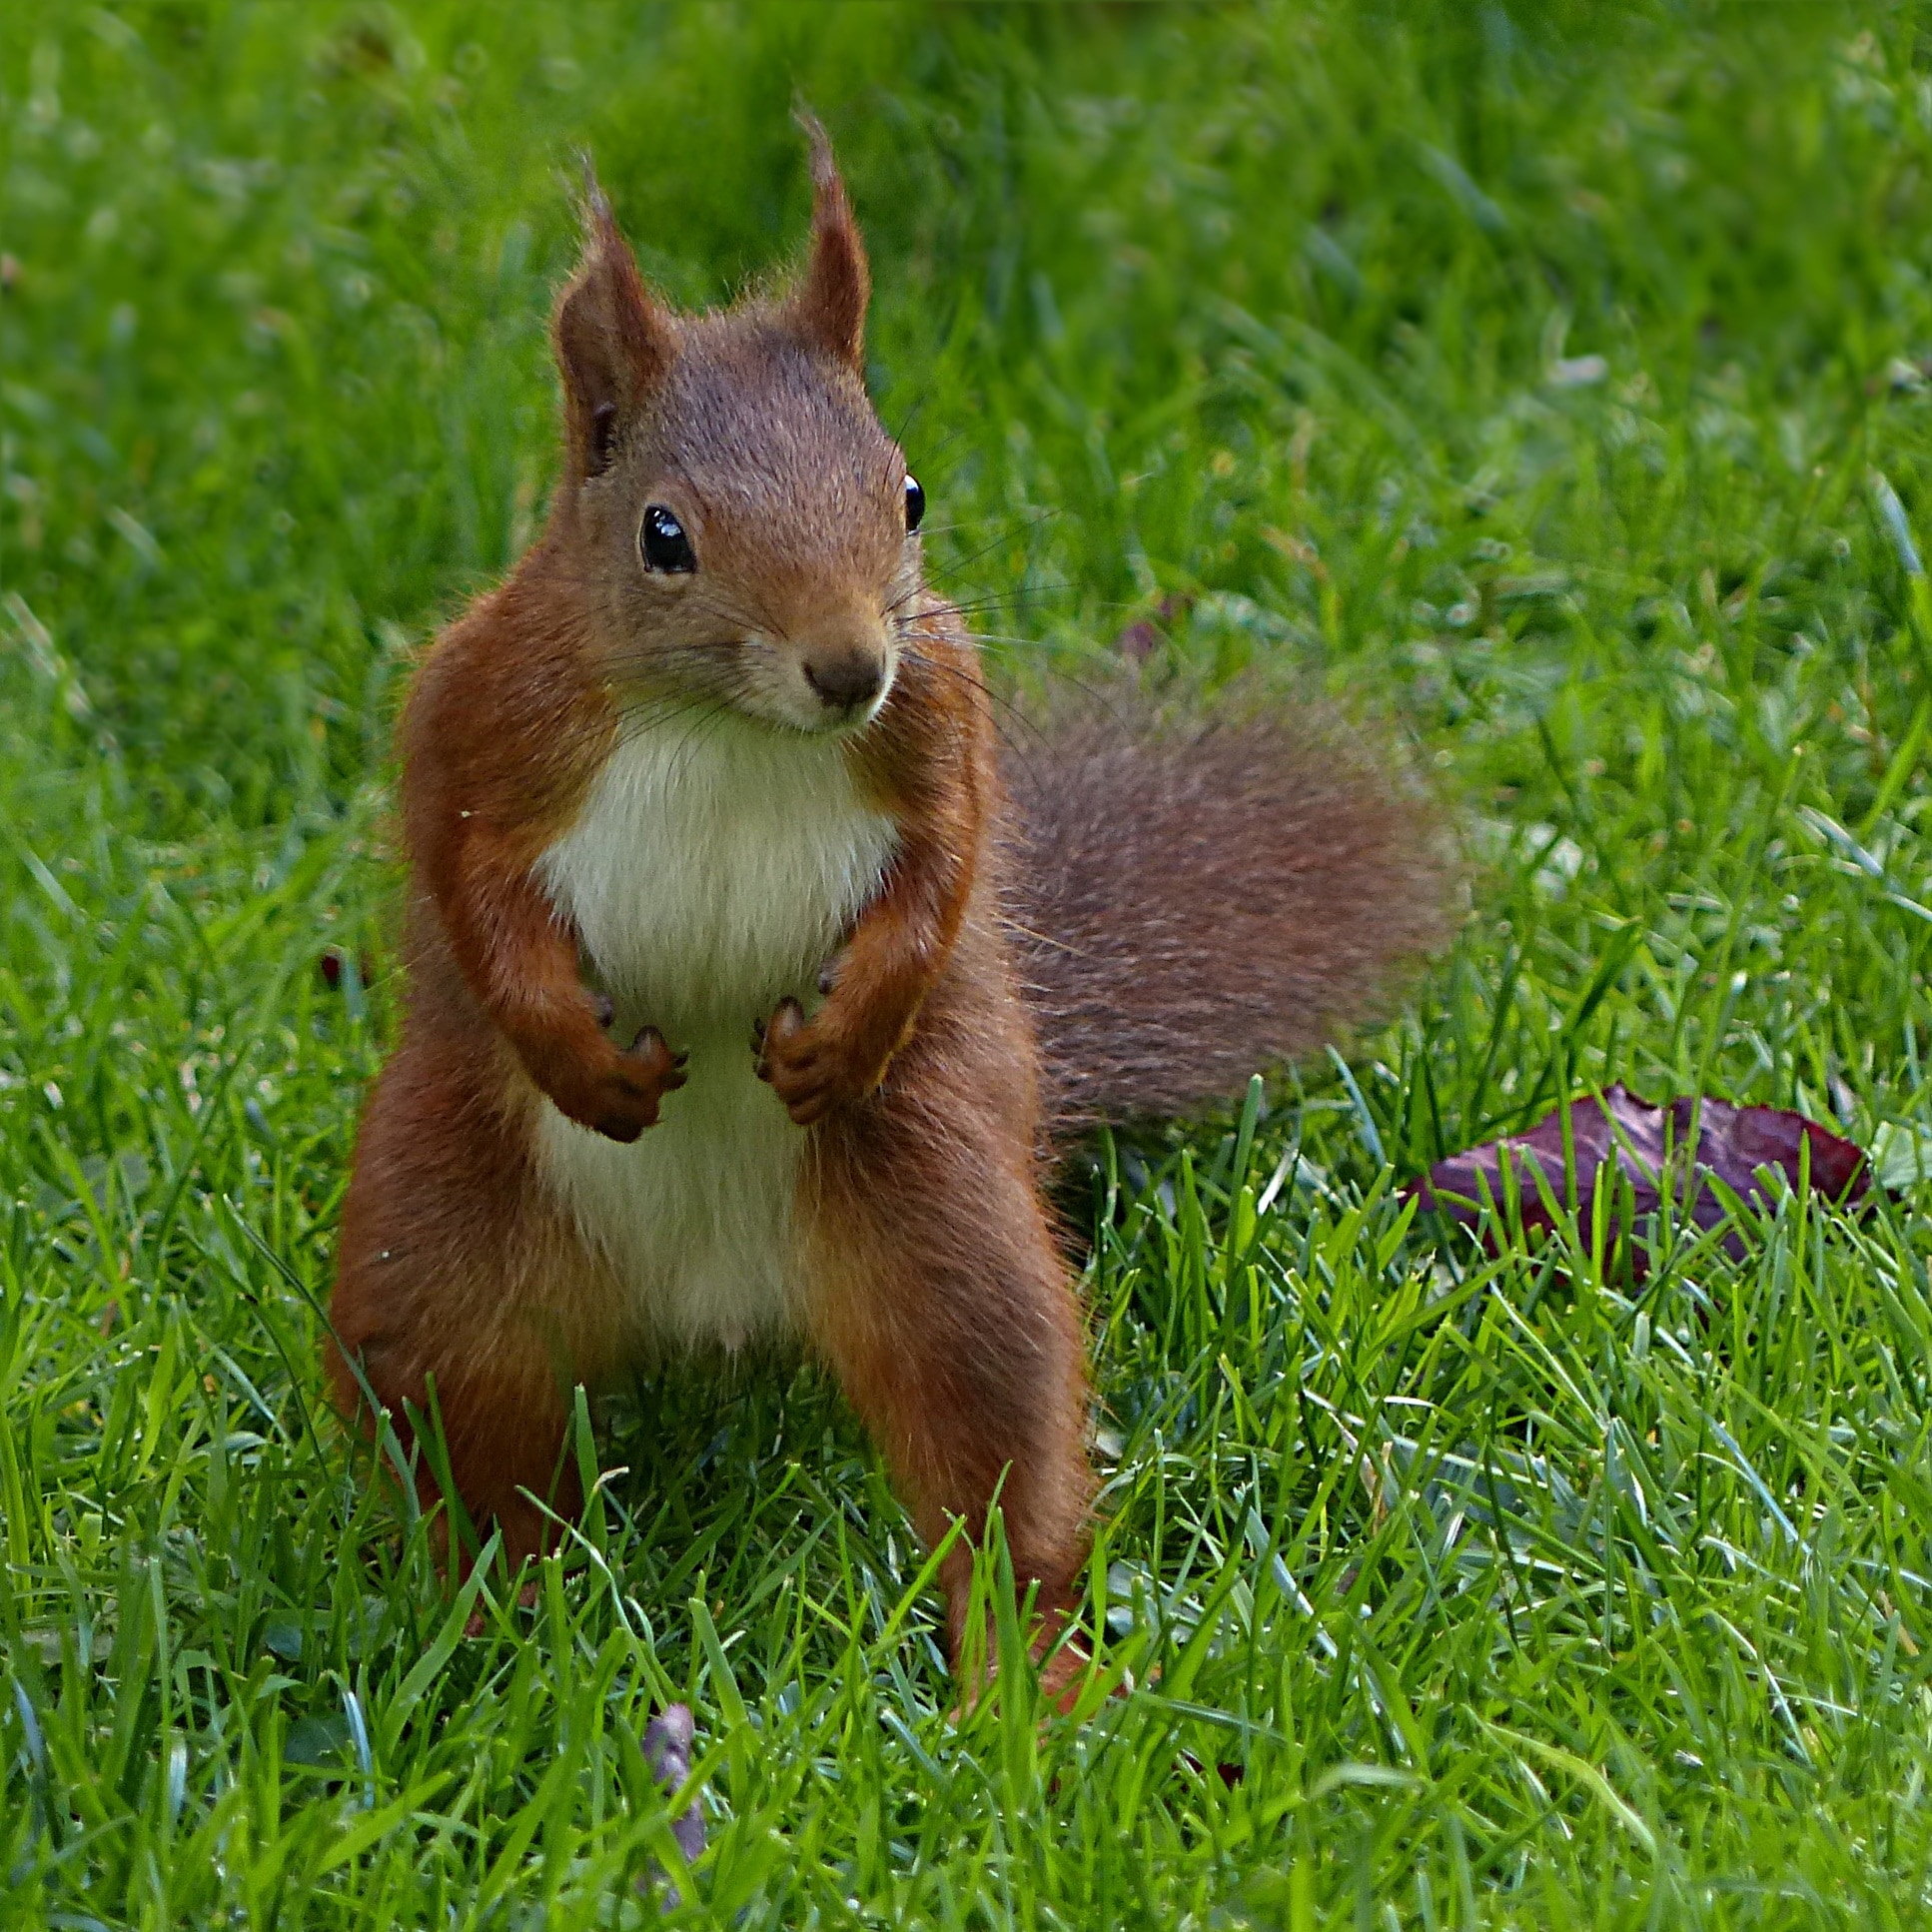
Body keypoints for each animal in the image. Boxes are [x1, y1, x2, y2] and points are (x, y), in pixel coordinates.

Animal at [328, 120, 1452, 1699]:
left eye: (907, 494)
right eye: (662, 535)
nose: (848, 665)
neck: (726, 727)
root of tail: (715, 1301)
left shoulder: (939, 716)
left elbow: (946, 868)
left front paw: (846, 1025)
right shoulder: (480, 709)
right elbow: (464, 878)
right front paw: (572, 1047)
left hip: (936, 1222)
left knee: (993, 1456)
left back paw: (1024, 1678)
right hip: (437, 1247)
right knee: (469, 1450)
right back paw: (512, 1638)